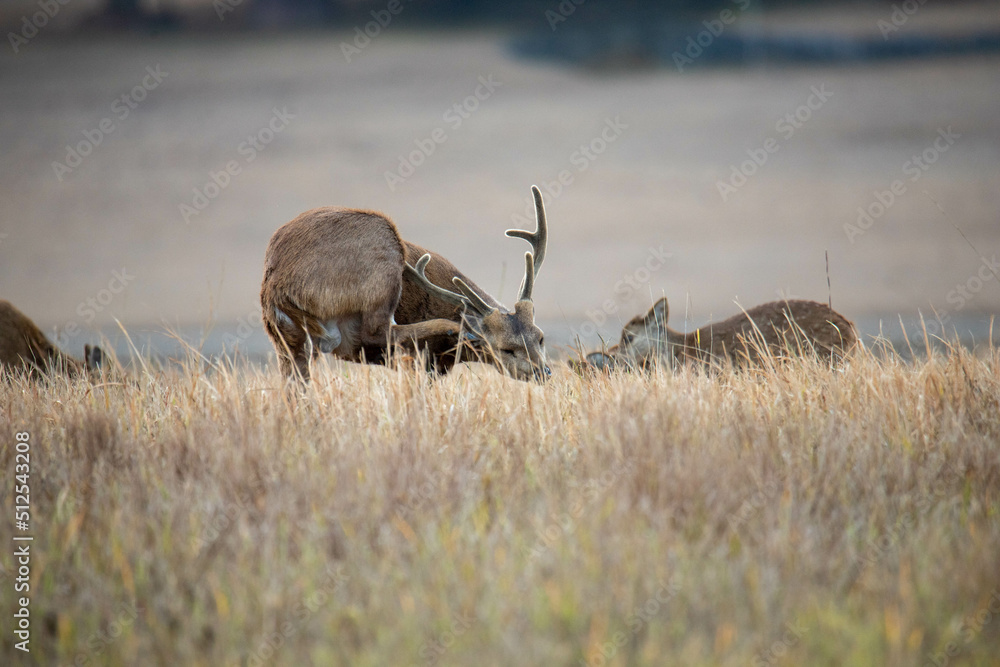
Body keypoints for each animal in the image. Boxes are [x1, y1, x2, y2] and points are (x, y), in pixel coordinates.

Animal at [260, 185, 551, 382]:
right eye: (506, 349)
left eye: (540, 337)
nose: (543, 372)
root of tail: (277, 283)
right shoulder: (427, 365)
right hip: (384, 242)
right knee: (376, 331)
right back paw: (453, 329)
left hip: (287, 338)